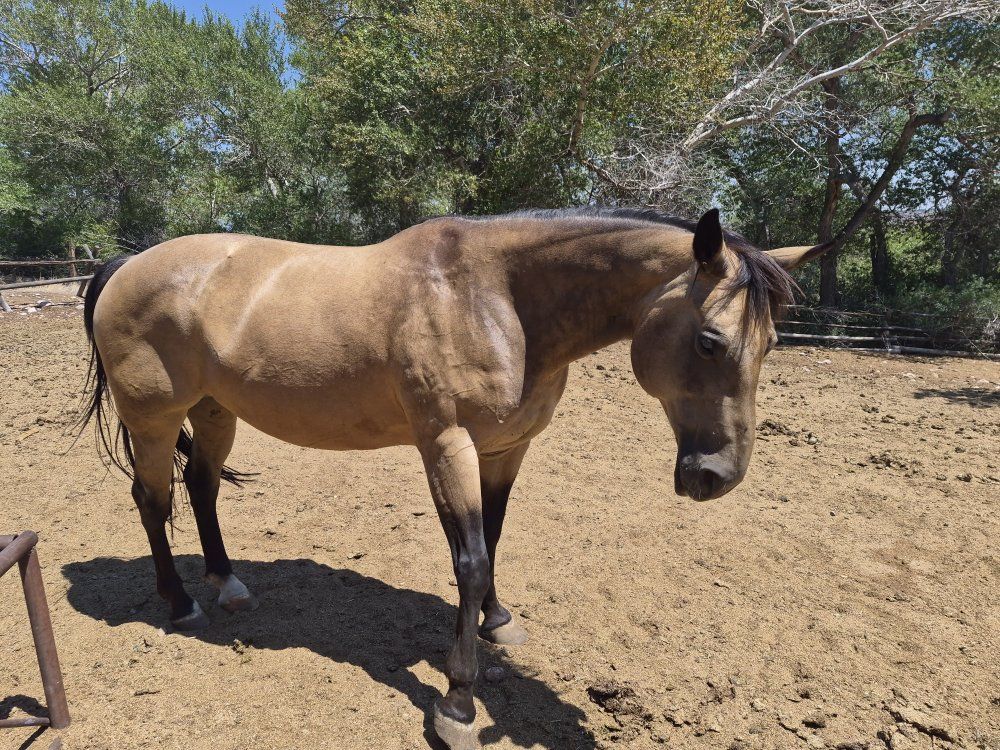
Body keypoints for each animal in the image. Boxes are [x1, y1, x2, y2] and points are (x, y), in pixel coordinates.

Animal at [78, 206, 828, 750]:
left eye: (771, 344)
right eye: (709, 341)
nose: (717, 476)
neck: (495, 297)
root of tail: (128, 264)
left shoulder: (505, 449)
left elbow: (491, 541)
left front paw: (498, 620)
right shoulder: (447, 446)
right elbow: (468, 560)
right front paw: (459, 705)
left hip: (215, 411)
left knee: (201, 489)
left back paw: (226, 582)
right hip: (154, 419)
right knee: (152, 499)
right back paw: (180, 603)